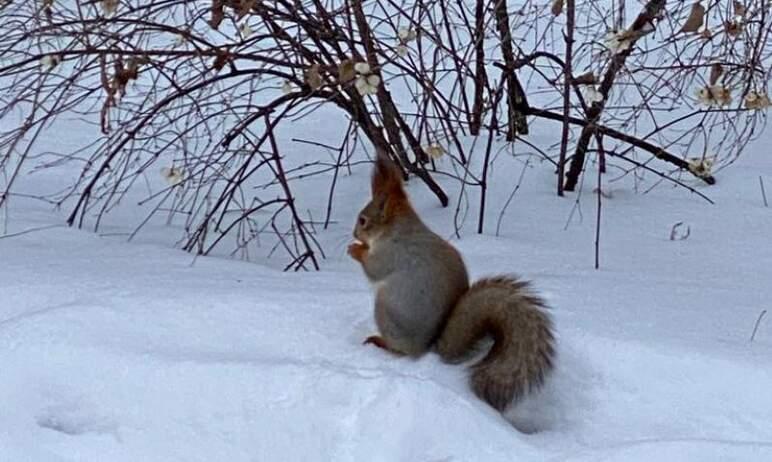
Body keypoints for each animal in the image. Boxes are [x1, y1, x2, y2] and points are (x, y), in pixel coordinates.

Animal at [348, 155, 556, 412]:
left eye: (363, 220)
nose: (354, 233)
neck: (396, 230)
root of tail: (428, 347)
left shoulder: (391, 254)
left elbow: (374, 269)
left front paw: (355, 250)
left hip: (385, 311)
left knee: (401, 351)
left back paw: (380, 342)